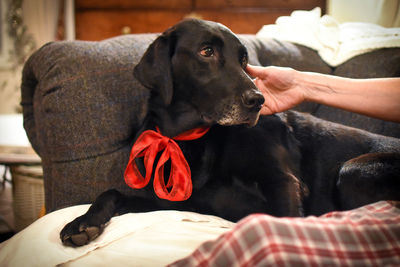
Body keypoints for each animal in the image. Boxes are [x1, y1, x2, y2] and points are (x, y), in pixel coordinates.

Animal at [60, 19, 400, 248]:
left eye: (244, 59)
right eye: (206, 51)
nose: (257, 101)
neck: (192, 137)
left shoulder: (283, 182)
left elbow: (281, 222)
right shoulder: (173, 202)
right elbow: (111, 192)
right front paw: (82, 223)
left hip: (354, 169)